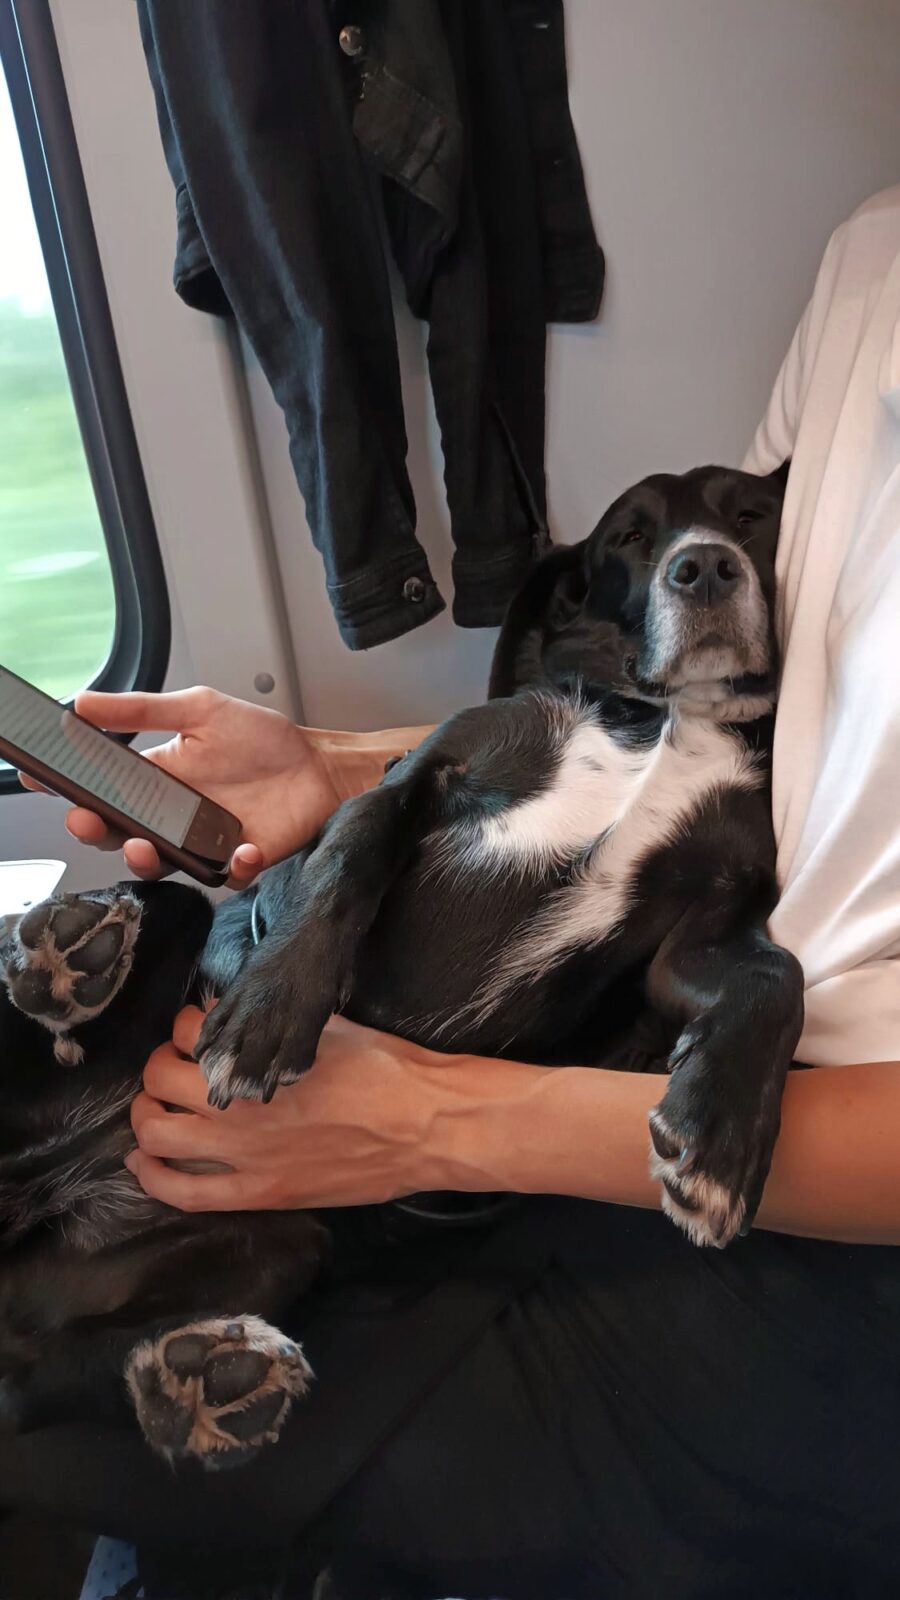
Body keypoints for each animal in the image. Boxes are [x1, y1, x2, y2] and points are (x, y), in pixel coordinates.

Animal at [0, 460, 802, 1472]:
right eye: (630, 535)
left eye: (753, 513)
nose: (703, 567)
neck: (656, 721)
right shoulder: (415, 782)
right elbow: (344, 864)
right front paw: (269, 1013)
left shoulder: (694, 936)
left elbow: (775, 977)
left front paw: (723, 1137)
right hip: (177, 928)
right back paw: (66, 958)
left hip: (275, 1253)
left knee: (34, 1379)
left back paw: (193, 1379)